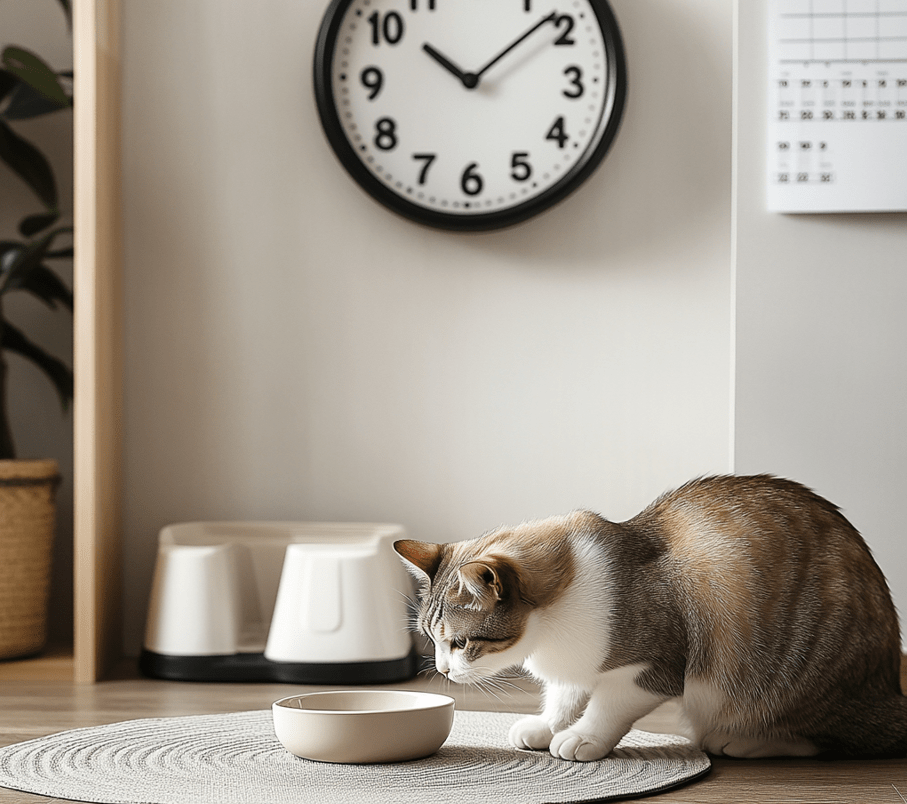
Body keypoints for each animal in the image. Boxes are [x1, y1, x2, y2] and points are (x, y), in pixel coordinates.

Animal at [396, 474, 907, 764]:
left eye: (461, 643)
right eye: (431, 639)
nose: (441, 669)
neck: (551, 633)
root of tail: (889, 690)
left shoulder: (652, 666)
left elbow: (606, 705)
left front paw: (582, 738)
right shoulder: (575, 666)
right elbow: (564, 695)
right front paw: (547, 726)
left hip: (796, 681)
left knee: (844, 739)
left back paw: (746, 741)